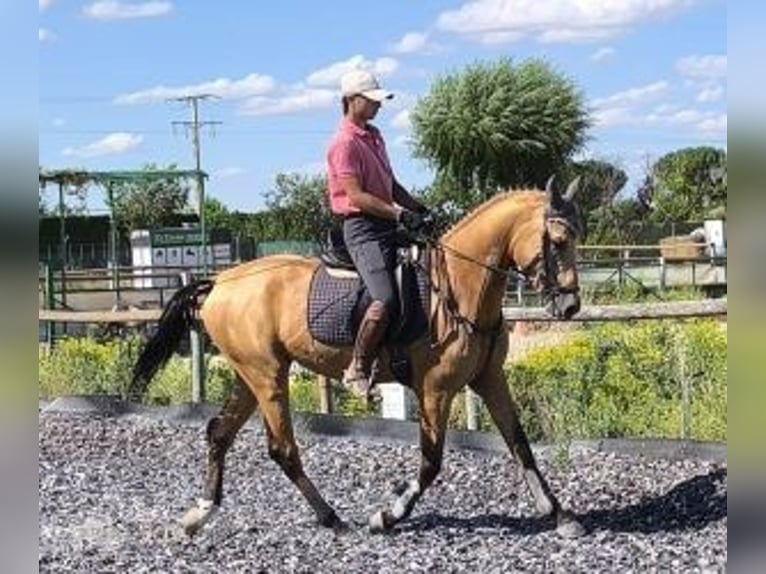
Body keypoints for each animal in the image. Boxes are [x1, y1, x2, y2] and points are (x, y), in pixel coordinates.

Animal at [132, 179, 588, 540]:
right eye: (558, 242)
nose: (569, 306)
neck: (461, 287)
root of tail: (220, 281)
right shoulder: (435, 389)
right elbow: (431, 461)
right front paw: (387, 516)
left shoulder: (490, 379)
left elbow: (520, 444)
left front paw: (560, 515)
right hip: (267, 375)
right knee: (283, 448)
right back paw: (333, 518)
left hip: (252, 375)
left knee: (220, 434)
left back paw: (198, 515)